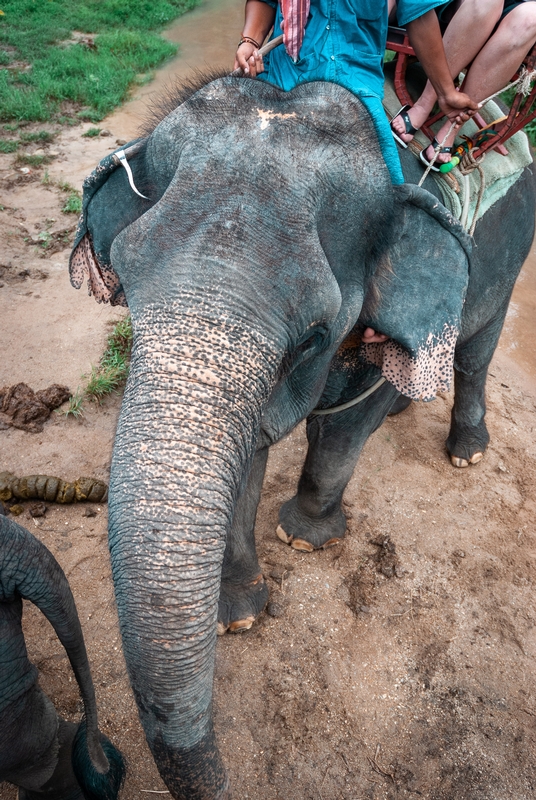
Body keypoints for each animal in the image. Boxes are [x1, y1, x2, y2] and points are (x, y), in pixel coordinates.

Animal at [69, 72, 532, 796]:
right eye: (126, 281)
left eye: (315, 334)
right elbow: (251, 452)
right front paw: (238, 614)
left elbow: (346, 422)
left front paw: (307, 537)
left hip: (510, 253)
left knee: (477, 348)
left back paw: (465, 454)